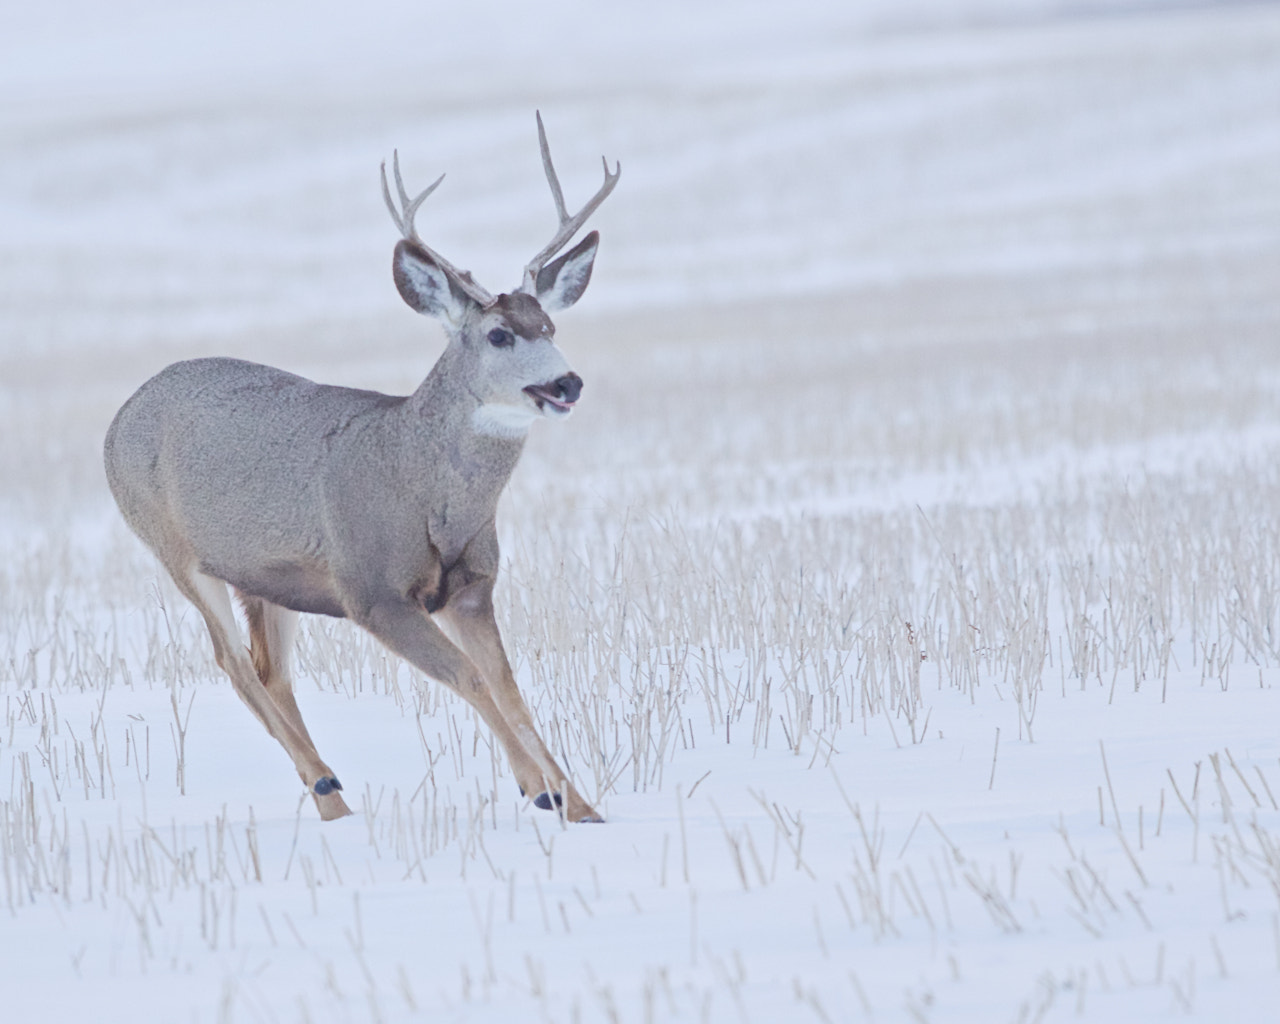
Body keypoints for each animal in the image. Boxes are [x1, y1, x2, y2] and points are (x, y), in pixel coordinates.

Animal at [103, 113, 619, 824]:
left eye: (550, 325)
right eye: (499, 335)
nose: (567, 383)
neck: (422, 489)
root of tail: (119, 417)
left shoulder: (471, 584)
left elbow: (509, 686)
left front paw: (582, 807)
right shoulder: (370, 589)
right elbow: (470, 677)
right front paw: (539, 790)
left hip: (265, 576)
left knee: (269, 669)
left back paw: (333, 803)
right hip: (173, 547)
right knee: (231, 662)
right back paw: (327, 788)